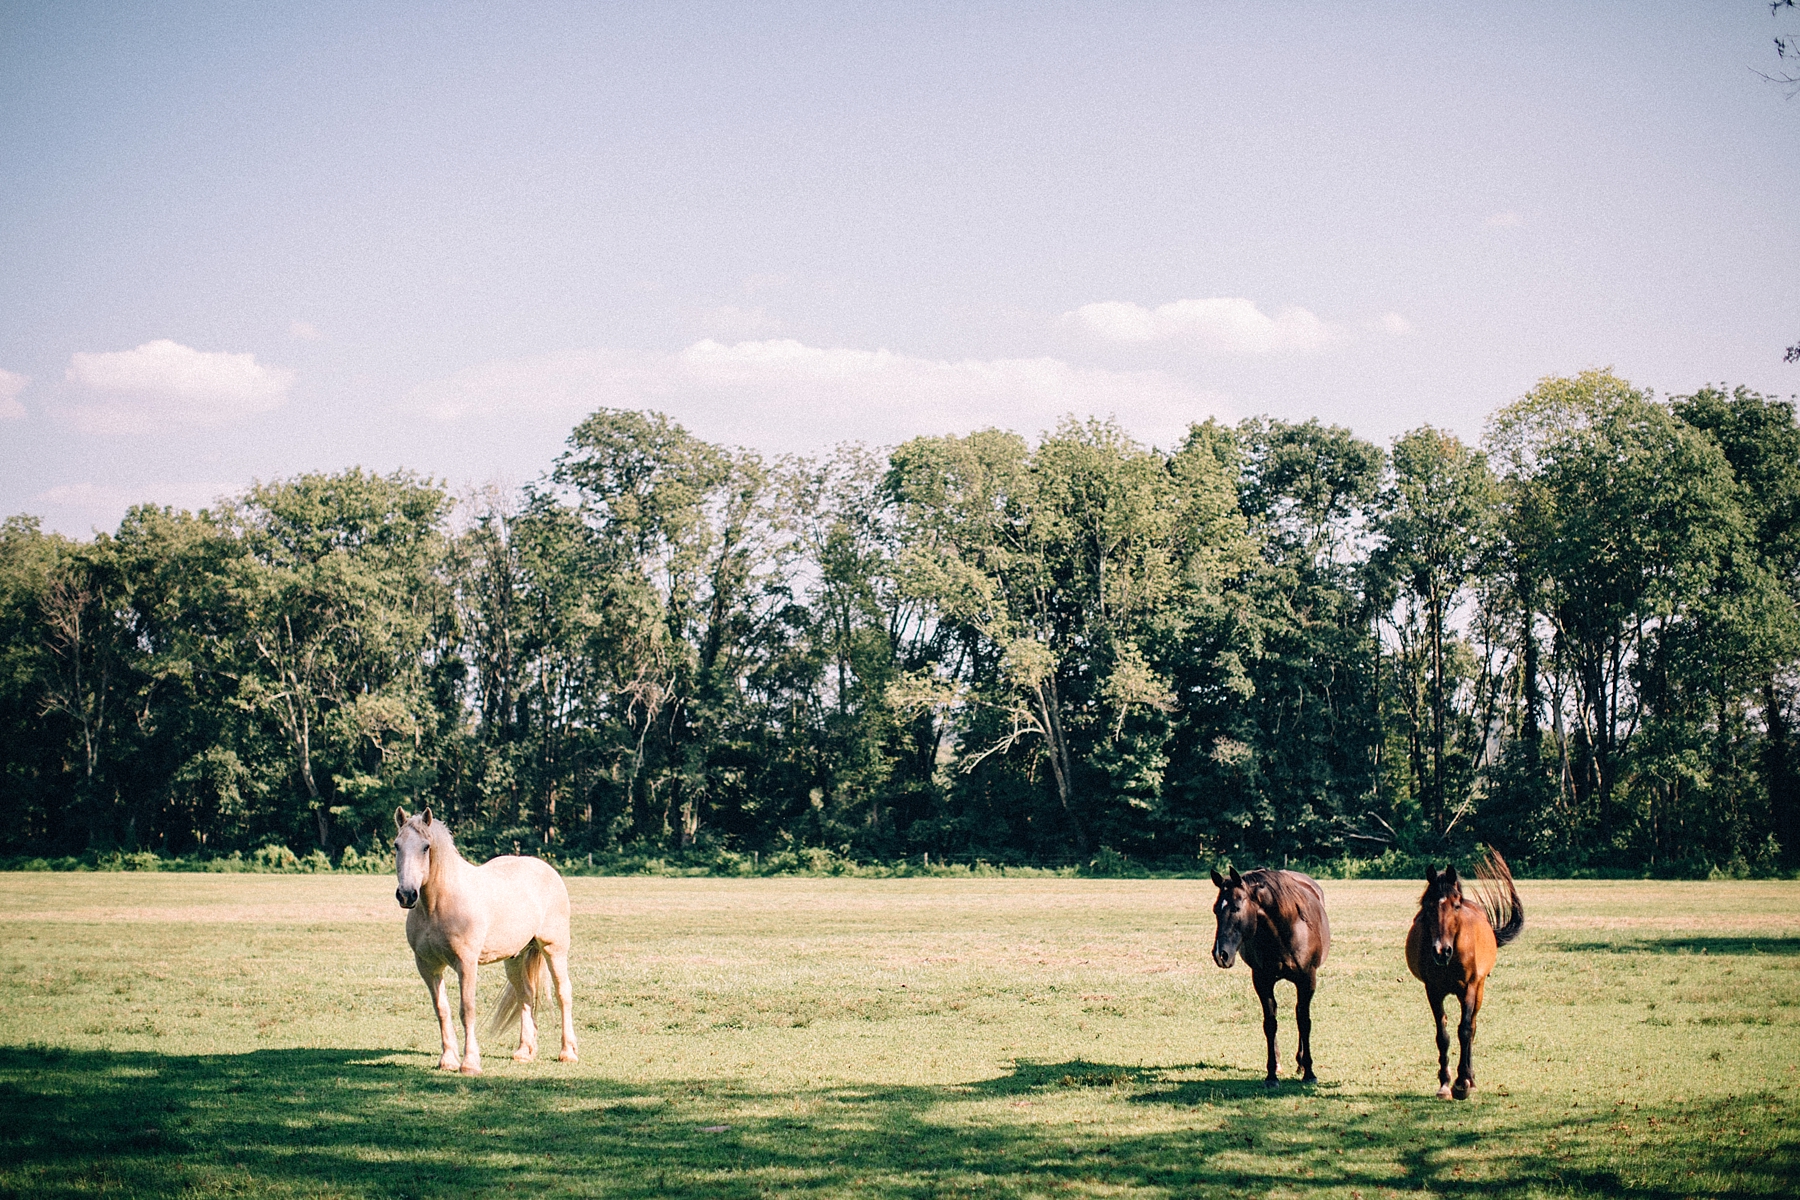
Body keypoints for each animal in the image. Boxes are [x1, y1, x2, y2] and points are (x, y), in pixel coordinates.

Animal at [394, 805, 576, 1079]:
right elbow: (442, 1010)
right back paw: (524, 1052)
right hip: (515, 958)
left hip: (554, 949)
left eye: (426, 847)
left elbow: (467, 1010)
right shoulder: (428, 966)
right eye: (397, 845)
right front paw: (447, 1060)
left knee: (563, 992)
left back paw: (568, 1053)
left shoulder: (466, 964)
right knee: (526, 995)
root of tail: (547, 870)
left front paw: (470, 1063)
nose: (406, 895)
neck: (438, 904)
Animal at [1216, 863, 1332, 1086]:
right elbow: (1270, 1024)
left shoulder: (1307, 980)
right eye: (1216, 909)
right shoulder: (1262, 981)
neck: (1286, 930)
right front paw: (1271, 1074)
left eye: (1236, 907)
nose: (1220, 954)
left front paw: (1309, 1072)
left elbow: (1304, 1021)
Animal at [1396, 845, 1526, 1101]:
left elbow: (1465, 1031)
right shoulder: (1433, 991)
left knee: (1472, 1027)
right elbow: (1443, 1035)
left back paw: (1471, 1079)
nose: (1441, 950)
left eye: (1455, 905)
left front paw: (1462, 1083)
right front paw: (1445, 1084)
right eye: (1428, 906)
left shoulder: (1469, 987)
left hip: (1479, 990)